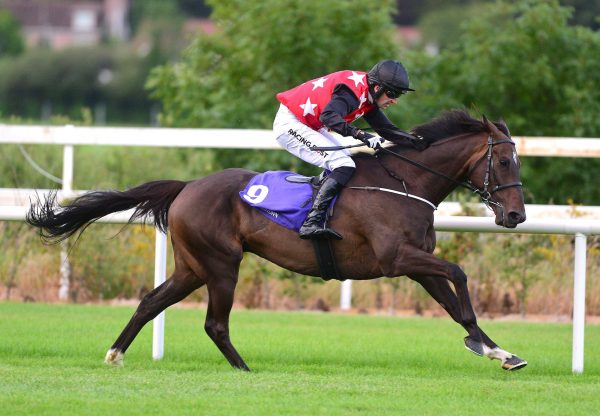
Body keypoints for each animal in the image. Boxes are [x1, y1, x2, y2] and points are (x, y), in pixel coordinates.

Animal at [25, 109, 528, 370]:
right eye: (504, 162)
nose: (517, 215)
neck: (404, 183)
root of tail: (186, 186)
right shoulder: (398, 259)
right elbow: (460, 279)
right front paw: (486, 346)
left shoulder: (417, 262)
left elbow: (454, 305)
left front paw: (498, 350)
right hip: (221, 264)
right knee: (215, 323)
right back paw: (244, 369)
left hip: (192, 267)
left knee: (151, 301)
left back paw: (115, 354)